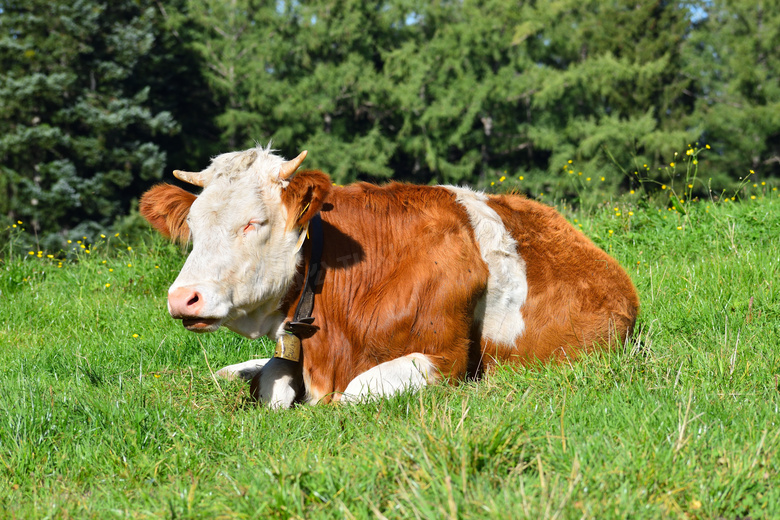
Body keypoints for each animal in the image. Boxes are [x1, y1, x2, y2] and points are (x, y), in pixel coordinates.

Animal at [140, 146, 640, 410]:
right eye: (193, 226)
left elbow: (352, 394)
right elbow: (272, 378)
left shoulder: (447, 360)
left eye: (253, 223)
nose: (183, 298)